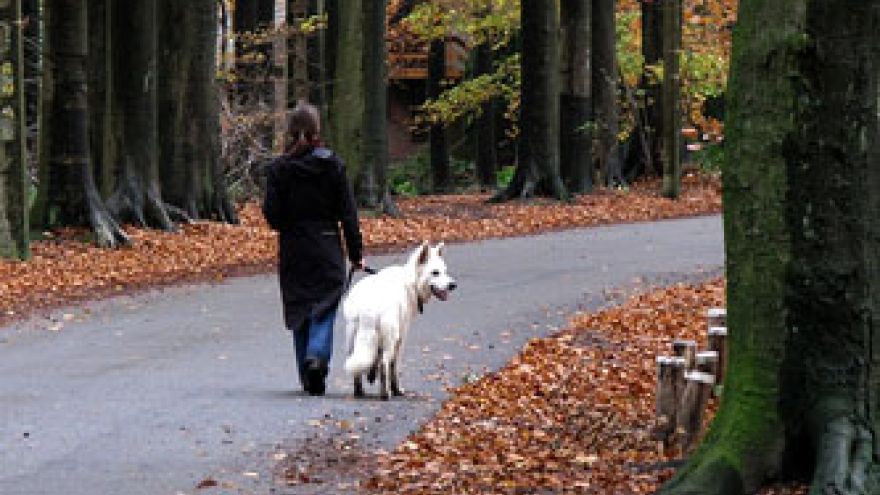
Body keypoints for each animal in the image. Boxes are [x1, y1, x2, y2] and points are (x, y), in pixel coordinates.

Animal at [342, 242, 458, 402]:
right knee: (384, 364)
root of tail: (368, 308)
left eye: (445, 271)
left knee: (356, 366)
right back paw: (386, 394)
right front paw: (397, 389)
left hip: (352, 339)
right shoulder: (401, 338)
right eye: (435, 273)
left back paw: (359, 391)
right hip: (390, 339)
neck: (411, 282)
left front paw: (371, 375)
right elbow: (393, 366)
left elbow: (374, 359)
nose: (453, 285)